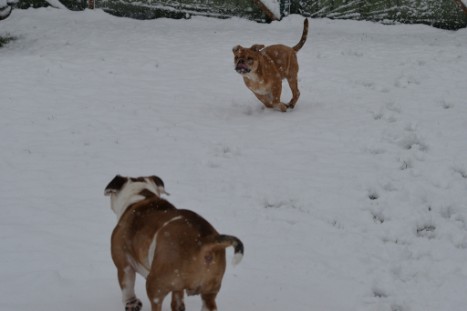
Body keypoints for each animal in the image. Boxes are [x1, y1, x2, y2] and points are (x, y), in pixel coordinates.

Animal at [105, 176, 245, 311]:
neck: (141, 195)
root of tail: (206, 240)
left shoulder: (124, 265)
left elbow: (127, 288)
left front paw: (131, 304)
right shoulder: (178, 288)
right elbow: (177, 299)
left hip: (155, 284)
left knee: (155, 303)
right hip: (210, 291)